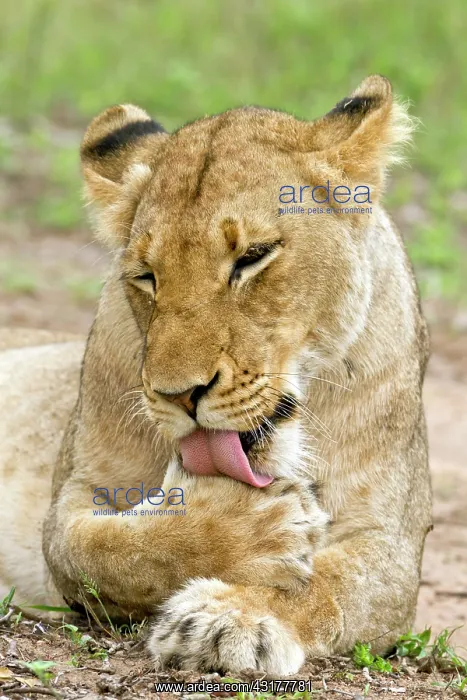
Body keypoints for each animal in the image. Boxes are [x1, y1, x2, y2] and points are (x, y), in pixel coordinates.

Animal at [0, 75, 431, 675]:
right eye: (146, 275)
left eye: (253, 256)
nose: (181, 395)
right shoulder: (77, 492)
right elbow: (104, 551)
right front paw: (250, 530)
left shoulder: (390, 544)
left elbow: (326, 586)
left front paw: (230, 620)